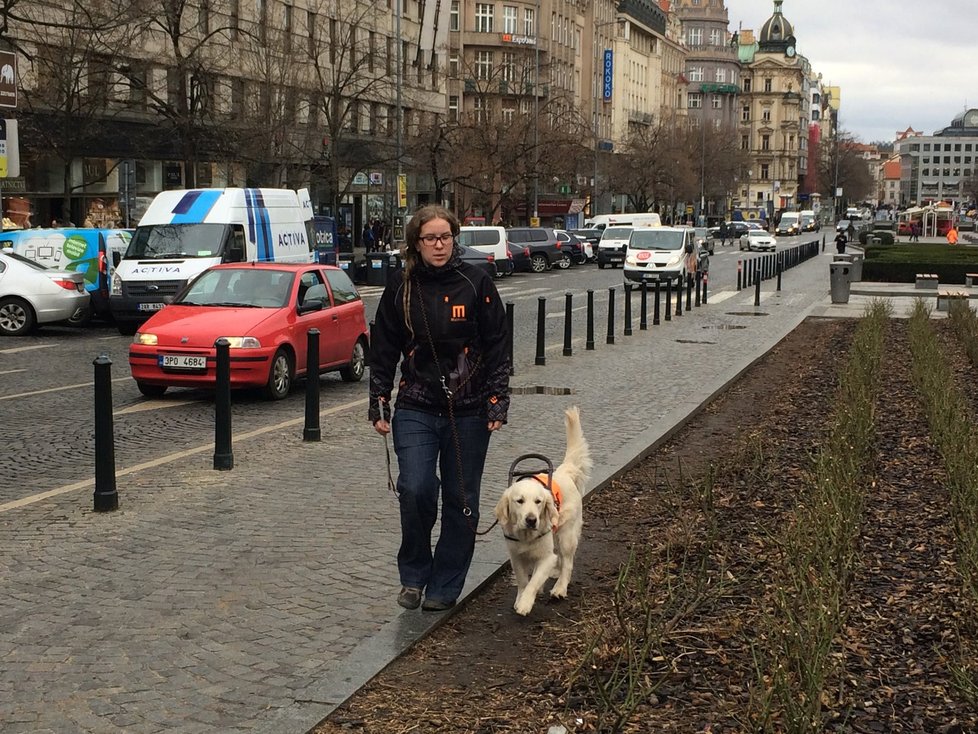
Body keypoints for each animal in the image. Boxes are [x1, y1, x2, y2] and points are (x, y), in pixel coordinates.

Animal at [492, 406, 592, 620]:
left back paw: (560, 588)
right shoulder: (516, 556)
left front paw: (526, 603)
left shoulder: (546, 556)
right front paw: (521, 598)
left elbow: (535, 579)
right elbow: (523, 580)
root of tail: (564, 471)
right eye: (519, 501)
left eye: (538, 502)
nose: (531, 520)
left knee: (567, 562)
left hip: (566, 534)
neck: (526, 536)